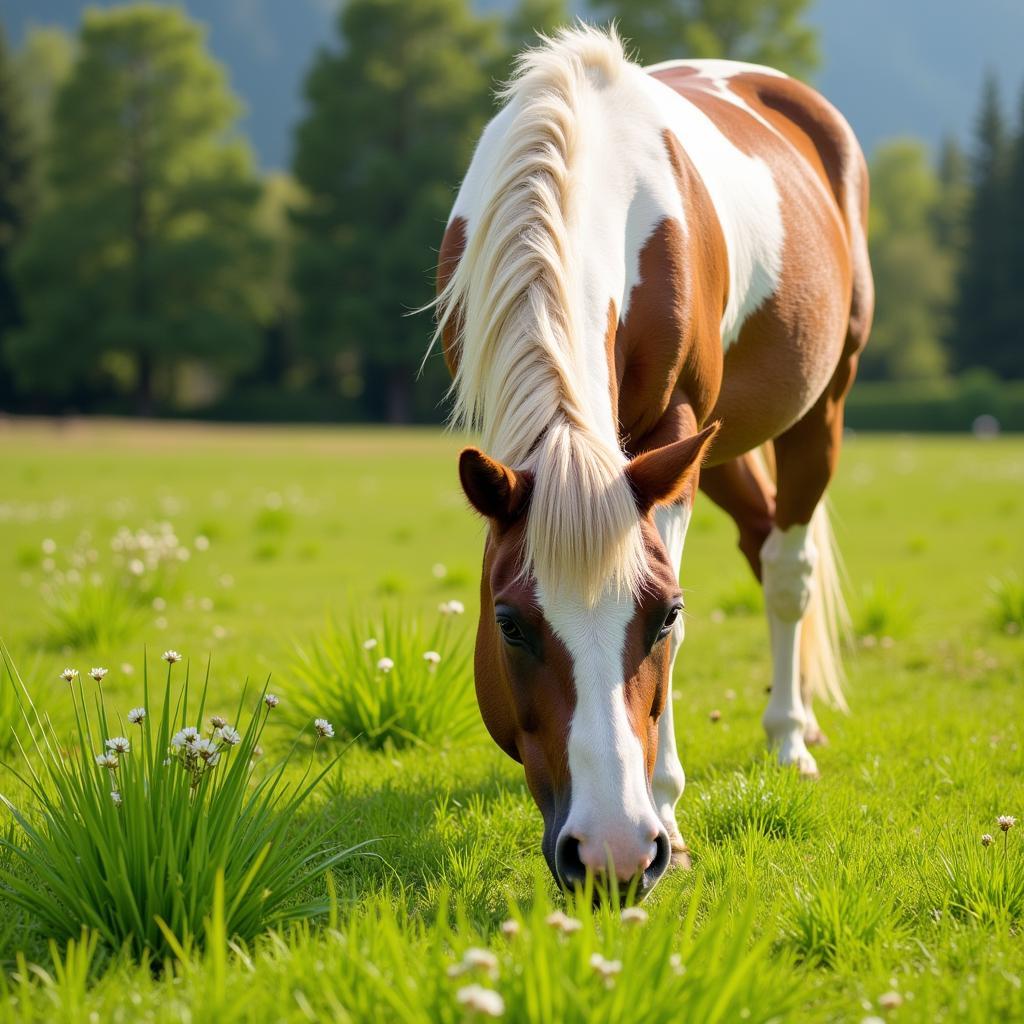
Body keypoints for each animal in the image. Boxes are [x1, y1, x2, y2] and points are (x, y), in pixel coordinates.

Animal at [430, 25, 872, 905]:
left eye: (663, 616)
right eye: (510, 624)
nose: (612, 856)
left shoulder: (672, 433)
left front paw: (667, 803)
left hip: (813, 411)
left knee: (787, 569)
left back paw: (788, 737)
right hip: (712, 449)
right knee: (761, 538)